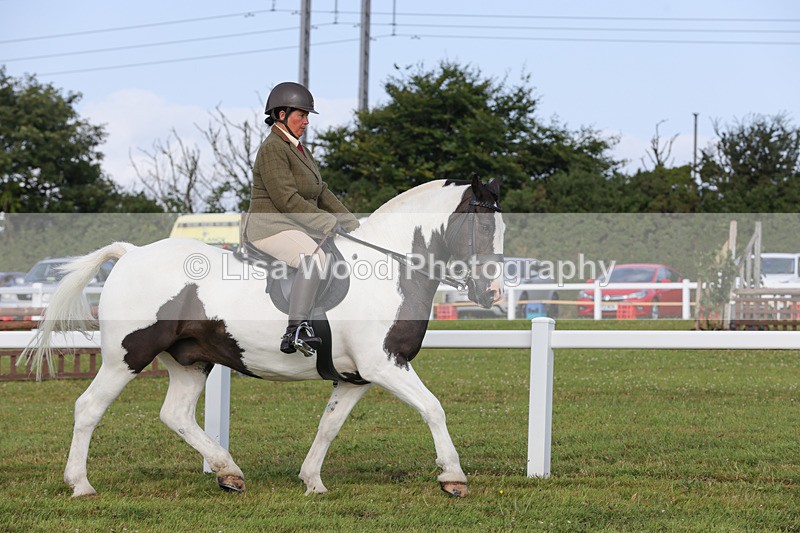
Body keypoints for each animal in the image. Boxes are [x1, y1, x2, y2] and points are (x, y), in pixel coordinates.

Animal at [23, 176, 504, 498]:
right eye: (483, 228)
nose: (493, 293)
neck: (390, 269)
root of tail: (132, 253)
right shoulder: (384, 364)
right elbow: (433, 408)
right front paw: (453, 477)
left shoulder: (357, 377)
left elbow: (329, 425)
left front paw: (312, 481)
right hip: (127, 355)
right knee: (89, 408)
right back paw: (81, 484)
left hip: (191, 360)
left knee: (176, 415)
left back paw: (228, 472)